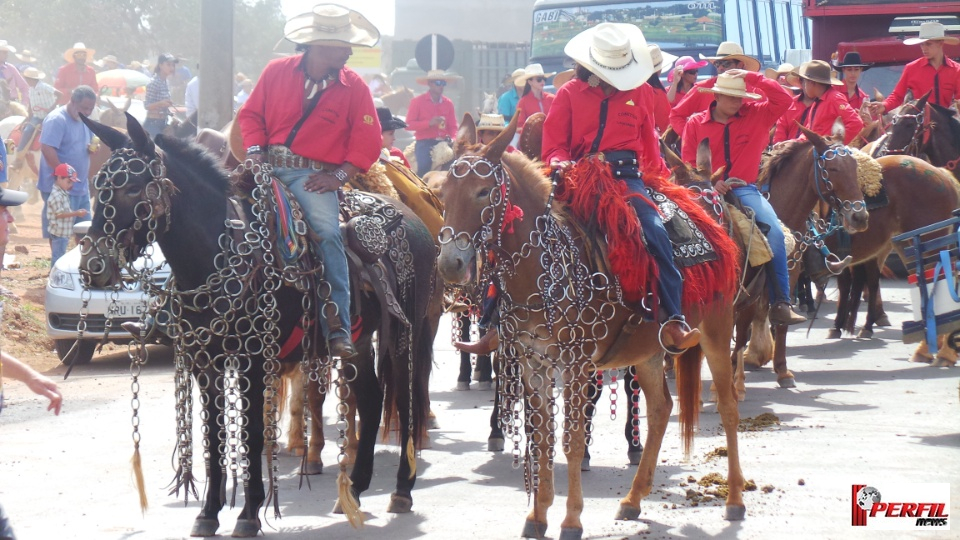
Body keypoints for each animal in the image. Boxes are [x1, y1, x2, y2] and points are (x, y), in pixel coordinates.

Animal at [438, 115, 748, 540]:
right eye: (443, 191)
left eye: (484, 192)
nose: (449, 263)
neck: (543, 269)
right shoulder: (533, 362)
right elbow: (543, 438)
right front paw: (537, 516)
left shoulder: (576, 364)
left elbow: (571, 439)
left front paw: (571, 520)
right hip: (648, 350)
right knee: (661, 409)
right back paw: (633, 499)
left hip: (717, 329)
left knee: (729, 407)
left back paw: (734, 499)